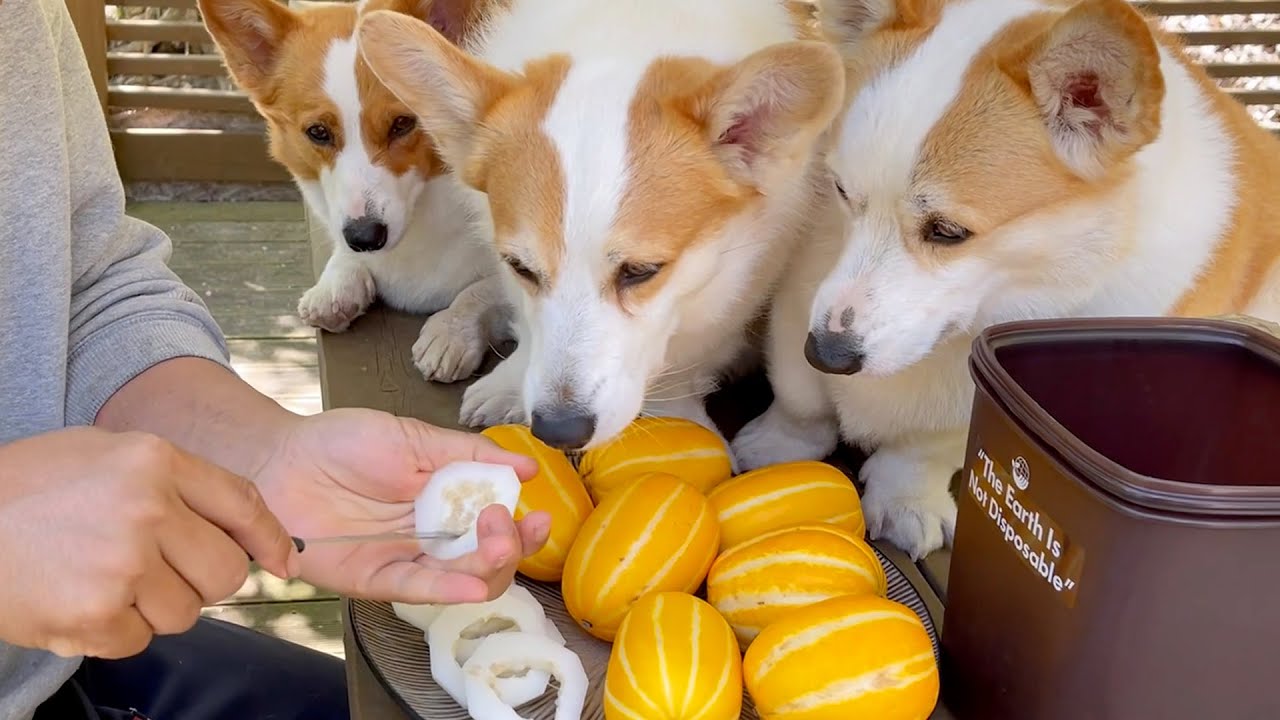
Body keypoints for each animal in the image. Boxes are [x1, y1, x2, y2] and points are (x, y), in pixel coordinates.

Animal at [197, 0, 512, 381]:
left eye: (403, 124)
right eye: (318, 132)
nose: (365, 238)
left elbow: (485, 290)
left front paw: (451, 331)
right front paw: (336, 285)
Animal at [355, 0, 844, 448]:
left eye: (641, 272)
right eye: (522, 268)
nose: (558, 432)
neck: (627, 30)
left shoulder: (733, 280)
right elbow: (529, 325)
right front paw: (512, 379)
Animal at [732, 0, 1280, 558]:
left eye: (949, 231)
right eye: (842, 191)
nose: (827, 354)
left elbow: (923, 449)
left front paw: (906, 500)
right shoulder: (801, 296)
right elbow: (799, 396)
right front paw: (778, 450)